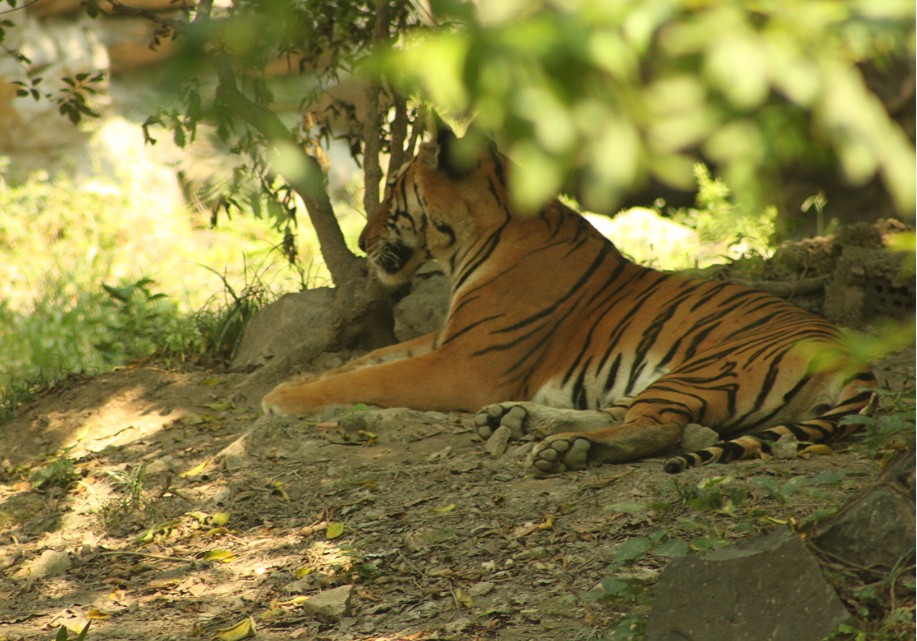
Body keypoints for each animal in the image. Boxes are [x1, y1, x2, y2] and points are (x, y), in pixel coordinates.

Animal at [261, 129, 877, 474]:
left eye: (392, 192)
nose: (361, 240)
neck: (472, 244)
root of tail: (857, 359)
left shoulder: (462, 365)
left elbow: (369, 378)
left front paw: (281, 399)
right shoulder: (446, 338)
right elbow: (366, 359)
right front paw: (296, 381)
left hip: (706, 367)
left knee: (658, 427)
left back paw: (563, 449)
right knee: (623, 410)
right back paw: (519, 419)